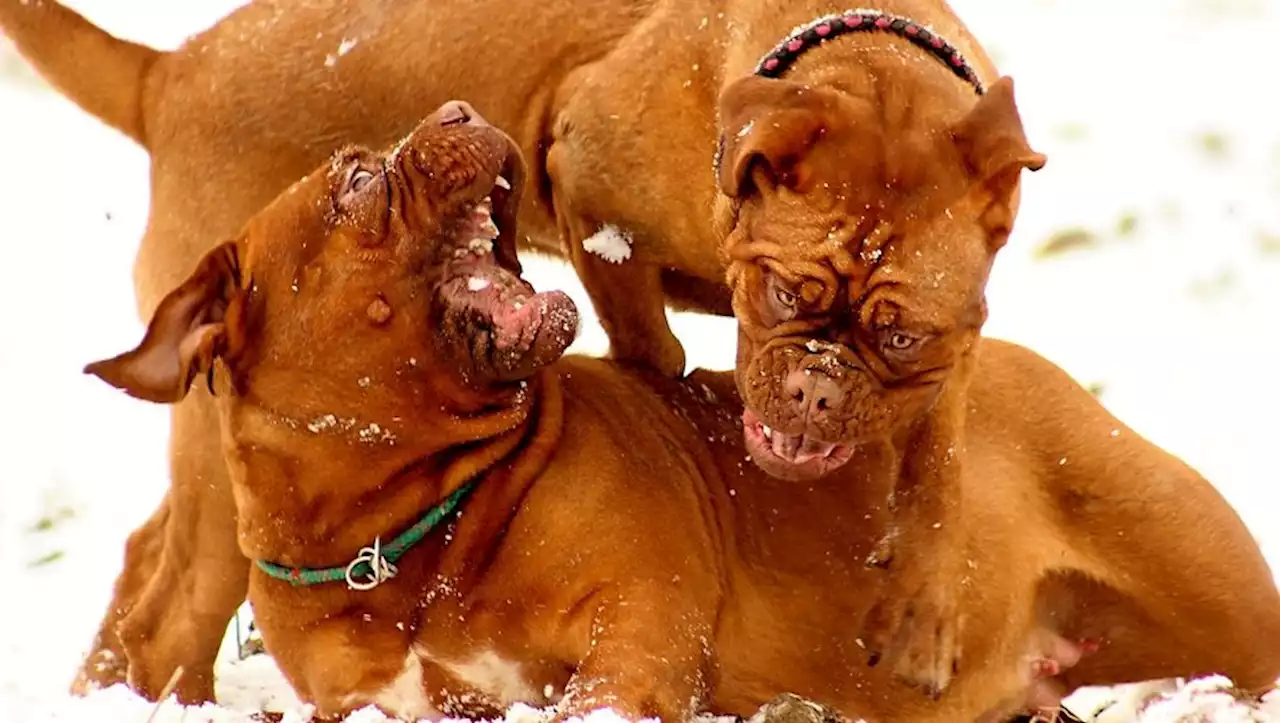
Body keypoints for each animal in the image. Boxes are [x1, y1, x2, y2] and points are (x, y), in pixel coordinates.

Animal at [0, 1, 1029, 701]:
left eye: (900, 334)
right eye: (781, 293)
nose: (816, 386)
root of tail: (166, 72)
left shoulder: (955, 337)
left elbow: (936, 460)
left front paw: (924, 609)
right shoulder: (594, 200)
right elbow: (651, 352)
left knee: (145, 560)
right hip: (225, 460)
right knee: (170, 608)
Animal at [82, 101, 1280, 721]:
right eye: (352, 182)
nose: (461, 109)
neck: (404, 525)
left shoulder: (635, 638)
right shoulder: (379, 700)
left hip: (1207, 588)